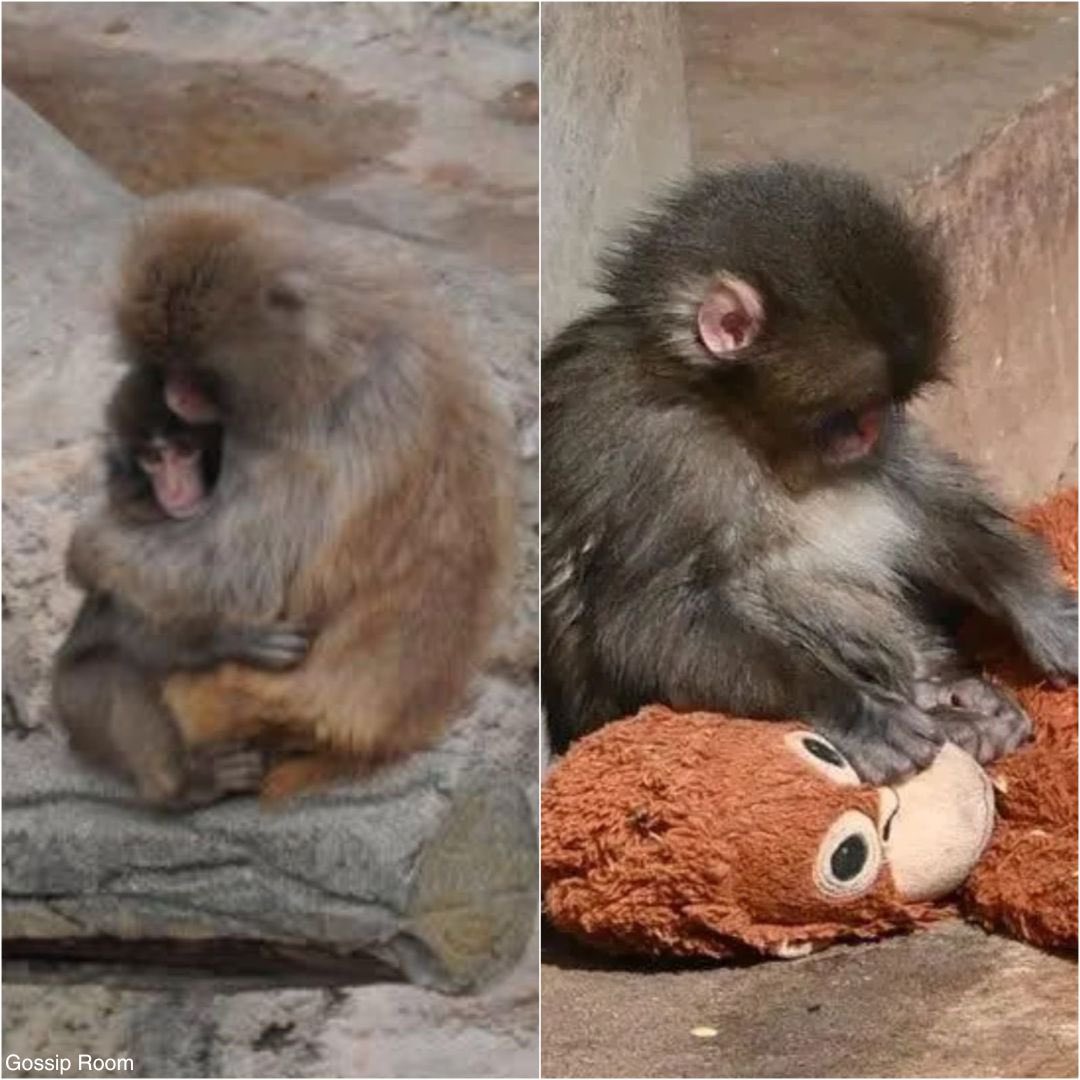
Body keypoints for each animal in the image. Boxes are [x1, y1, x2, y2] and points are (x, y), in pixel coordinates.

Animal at [54, 365, 310, 806]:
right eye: (153, 458)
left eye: (184, 450)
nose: (172, 489)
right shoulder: (130, 524)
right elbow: (134, 628)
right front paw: (232, 637)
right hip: (73, 704)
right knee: (121, 667)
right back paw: (184, 786)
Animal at [541, 162, 1077, 784]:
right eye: (845, 415)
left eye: (884, 407)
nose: (871, 431)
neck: (726, 413)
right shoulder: (650, 447)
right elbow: (644, 620)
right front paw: (856, 709)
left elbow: (915, 493)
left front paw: (1039, 602)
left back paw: (945, 686)